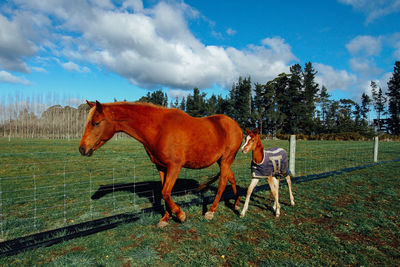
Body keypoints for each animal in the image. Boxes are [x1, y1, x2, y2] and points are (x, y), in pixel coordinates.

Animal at [77, 100, 241, 228]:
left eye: (96, 123)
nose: (82, 149)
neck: (159, 128)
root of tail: (236, 126)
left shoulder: (175, 166)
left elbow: (165, 192)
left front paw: (181, 215)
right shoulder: (161, 167)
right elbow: (163, 193)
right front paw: (165, 219)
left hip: (226, 160)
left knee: (222, 183)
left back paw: (211, 211)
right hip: (223, 161)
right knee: (232, 178)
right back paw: (237, 203)